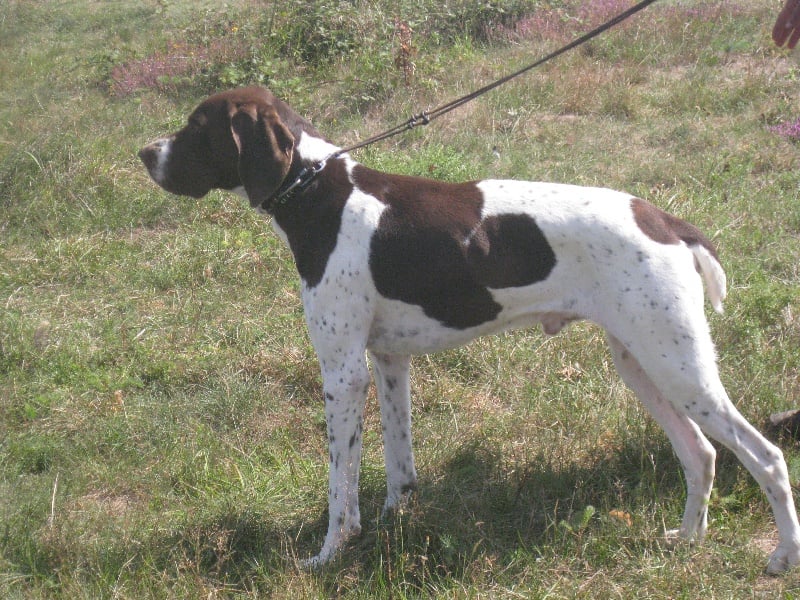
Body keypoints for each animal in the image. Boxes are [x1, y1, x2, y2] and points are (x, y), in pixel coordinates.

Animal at [139, 85, 800, 572]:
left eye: (198, 127)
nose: (145, 154)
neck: (318, 192)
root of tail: (666, 221)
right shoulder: (387, 363)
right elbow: (398, 467)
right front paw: (394, 524)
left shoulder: (342, 373)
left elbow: (339, 491)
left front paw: (329, 556)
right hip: (643, 363)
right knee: (702, 453)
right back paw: (687, 540)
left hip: (678, 366)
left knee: (765, 457)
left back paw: (781, 557)